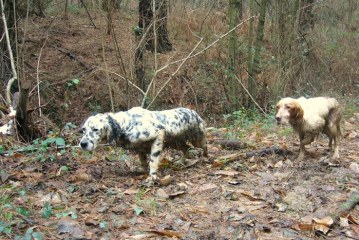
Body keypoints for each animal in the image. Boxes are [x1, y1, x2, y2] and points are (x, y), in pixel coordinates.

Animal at [79, 107, 208, 184]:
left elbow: (153, 161)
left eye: (95, 129)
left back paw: (207, 159)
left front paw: (152, 177)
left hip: (198, 139)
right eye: (83, 129)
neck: (127, 124)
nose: (83, 144)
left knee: (204, 148)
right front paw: (141, 170)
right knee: (186, 148)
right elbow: (143, 161)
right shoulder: (139, 148)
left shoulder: (158, 134)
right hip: (176, 143)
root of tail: (193, 112)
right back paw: (181, 162)